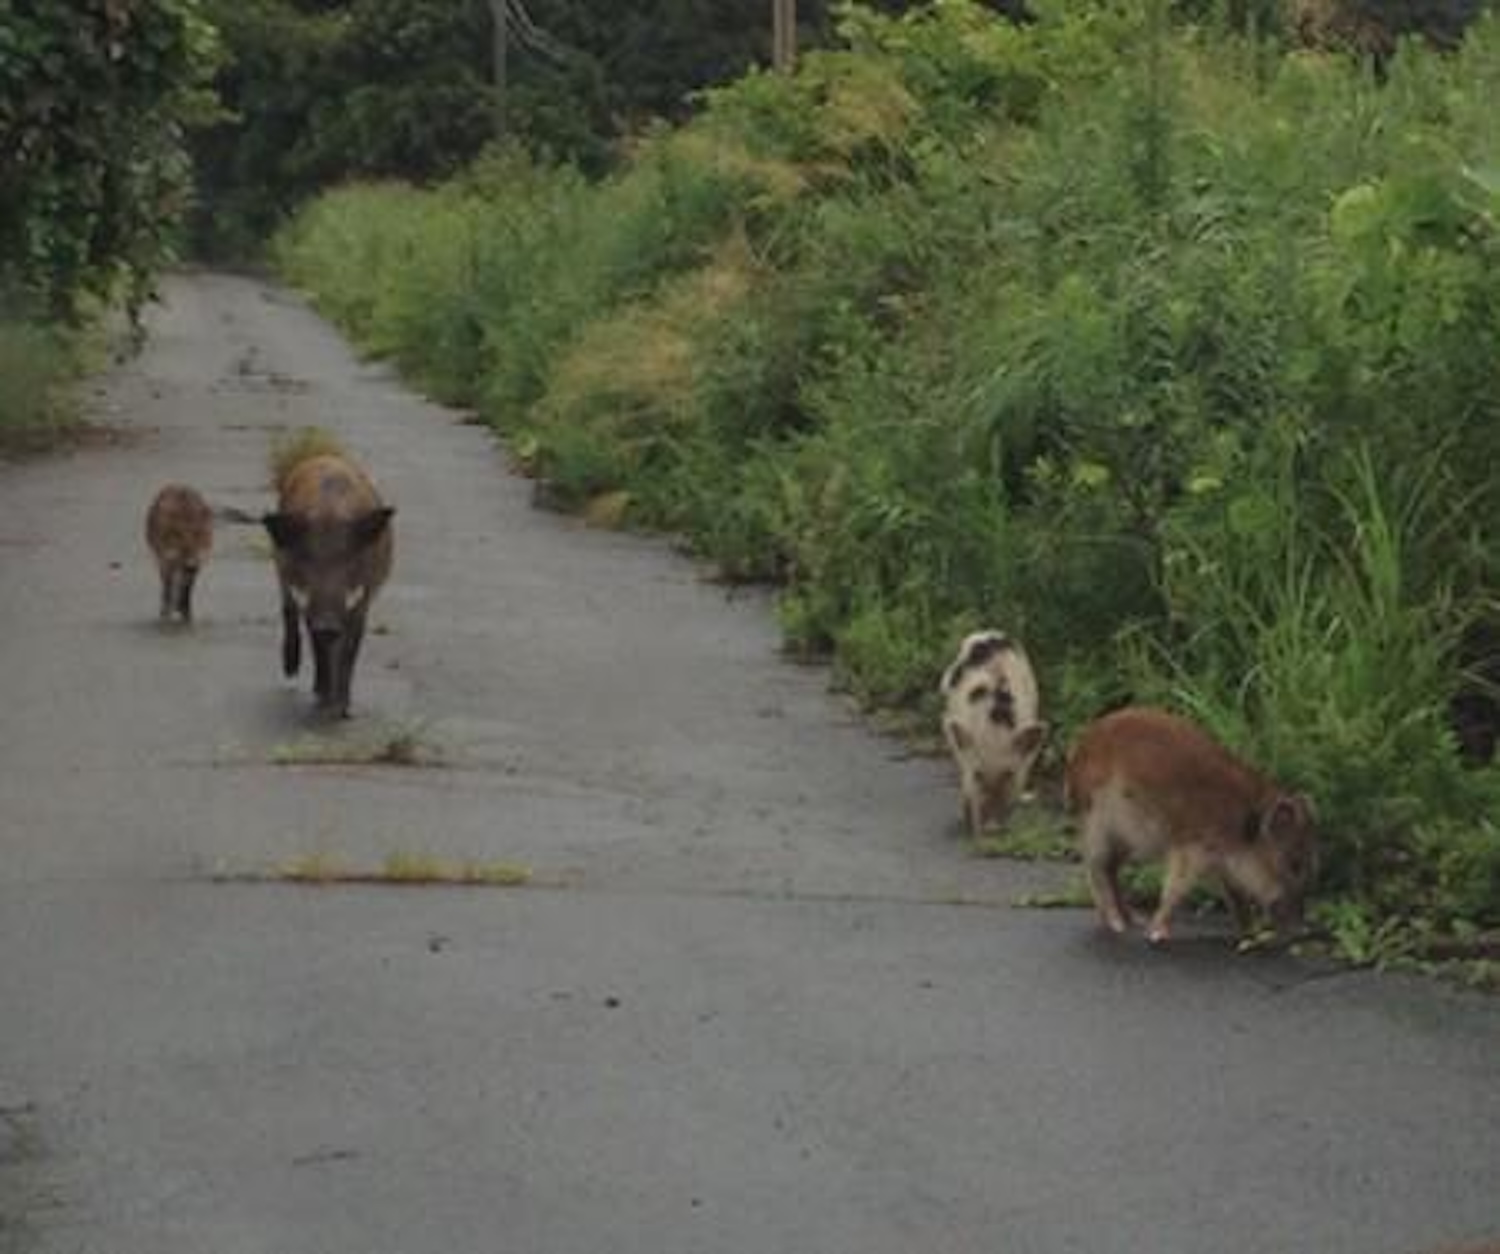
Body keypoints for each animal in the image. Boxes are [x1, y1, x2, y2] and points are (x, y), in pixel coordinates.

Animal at [145, 483, 213, 623]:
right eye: (180, 538)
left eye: (199, 536)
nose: (191, 565)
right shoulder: (166, 559)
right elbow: (168, 587)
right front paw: (167, 611)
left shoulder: (197, 562)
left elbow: (186, 591)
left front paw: (185, 611)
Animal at [262, 451, 394, 718]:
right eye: (306, 556)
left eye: (349, 557)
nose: (327, 622)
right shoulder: (305, 598)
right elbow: (317, 643)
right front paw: (323, 700)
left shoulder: (362, 598)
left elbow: (350, 647)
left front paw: (341, 709)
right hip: (280, 569)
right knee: (288, 611)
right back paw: (291, 671)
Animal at [1064, 706, 1317, 945]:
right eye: (1295, 864)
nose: (1303, 930)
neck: (1242, 826)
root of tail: (1076, 756)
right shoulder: (1191, 849)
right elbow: (1176, 889)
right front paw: (1157, 934)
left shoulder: (1225, 865)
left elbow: (1236, 896)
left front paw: (1250, 933)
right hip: (1099, 824)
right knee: (1096, 868)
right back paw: (1116, 924)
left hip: (1128, 840)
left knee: (1111, 869)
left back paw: (1133, 920)